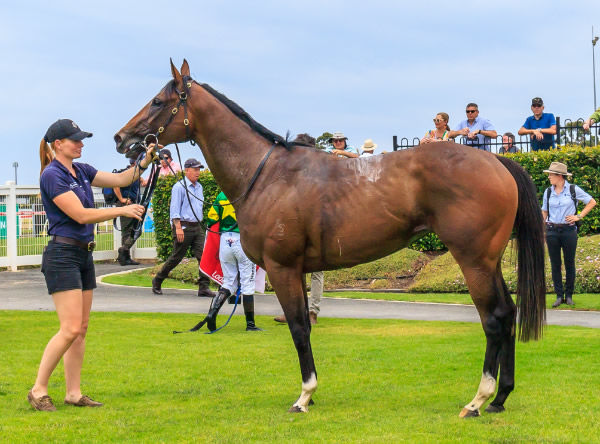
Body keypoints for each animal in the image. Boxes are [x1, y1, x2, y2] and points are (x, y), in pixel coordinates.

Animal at [115, 59, 548, 416]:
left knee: (493, 318)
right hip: (489, 261)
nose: (122, 138)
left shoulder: (283, 268)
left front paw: (305, 395)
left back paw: (478, 400)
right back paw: (501, 397)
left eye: (157, 101)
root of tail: (497, 161)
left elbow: (298, 327)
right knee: (508, 313)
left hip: (473, 259)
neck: (266, 174)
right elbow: (304, 323)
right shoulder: (300, 270)